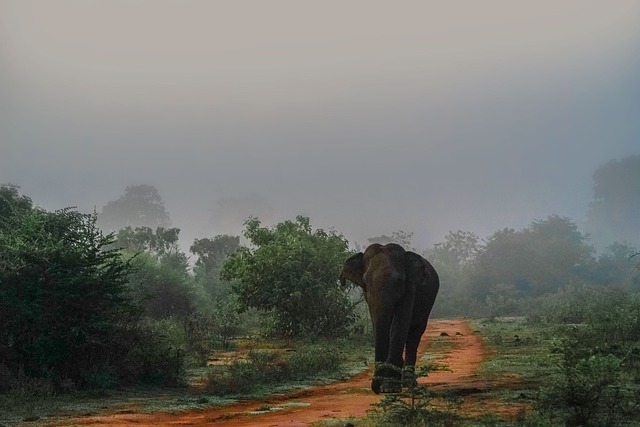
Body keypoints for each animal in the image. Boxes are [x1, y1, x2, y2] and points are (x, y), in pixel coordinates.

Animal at [340, 244, 440, 394]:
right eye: (365, 281)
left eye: (398, 280)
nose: (376, 388)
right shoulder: (368, 296)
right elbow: (378, 323)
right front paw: (388, 385)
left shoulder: (410, 288)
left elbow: (399, 324)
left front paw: (389, 388)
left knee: (415, 333)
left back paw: (409, 384)